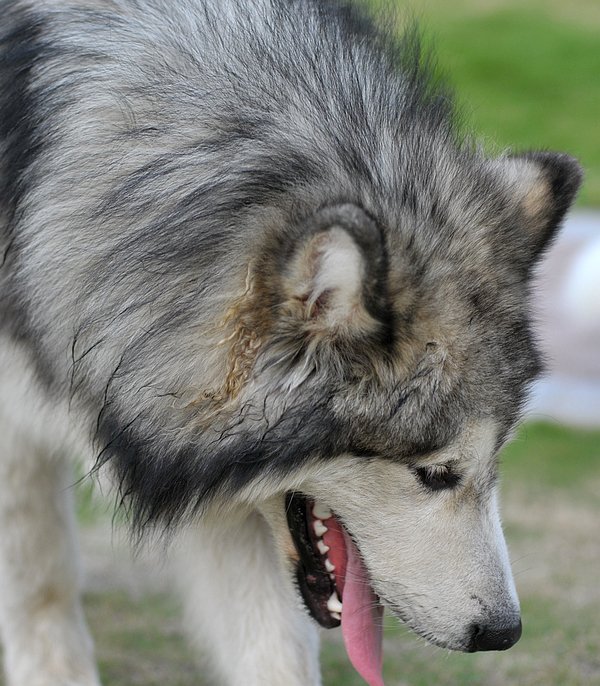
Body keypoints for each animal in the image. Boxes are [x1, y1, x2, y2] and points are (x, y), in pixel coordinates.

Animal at [0, 1, 580, 686]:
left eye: (497, 462)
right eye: (435, 473)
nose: (503, 632)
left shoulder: (221, 498)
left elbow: (274, 649)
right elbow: (43, 584)